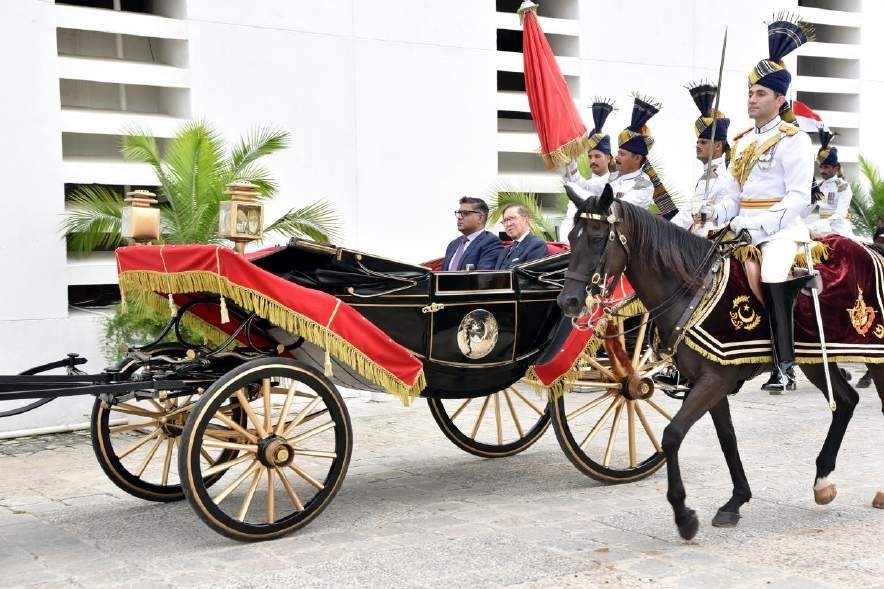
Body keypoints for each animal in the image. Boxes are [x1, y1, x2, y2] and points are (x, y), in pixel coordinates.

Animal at [560, 184, 884, 536]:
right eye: (571, 236)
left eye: (595, 238)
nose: (568, 302)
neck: (693, 290)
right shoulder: (713, 382)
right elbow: (727, 437)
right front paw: (736, 500)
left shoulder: (714, 380)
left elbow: (672, 435)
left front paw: (684, 515)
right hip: (813, 360)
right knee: (846, 401)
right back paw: (822, 480)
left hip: (873, 356)